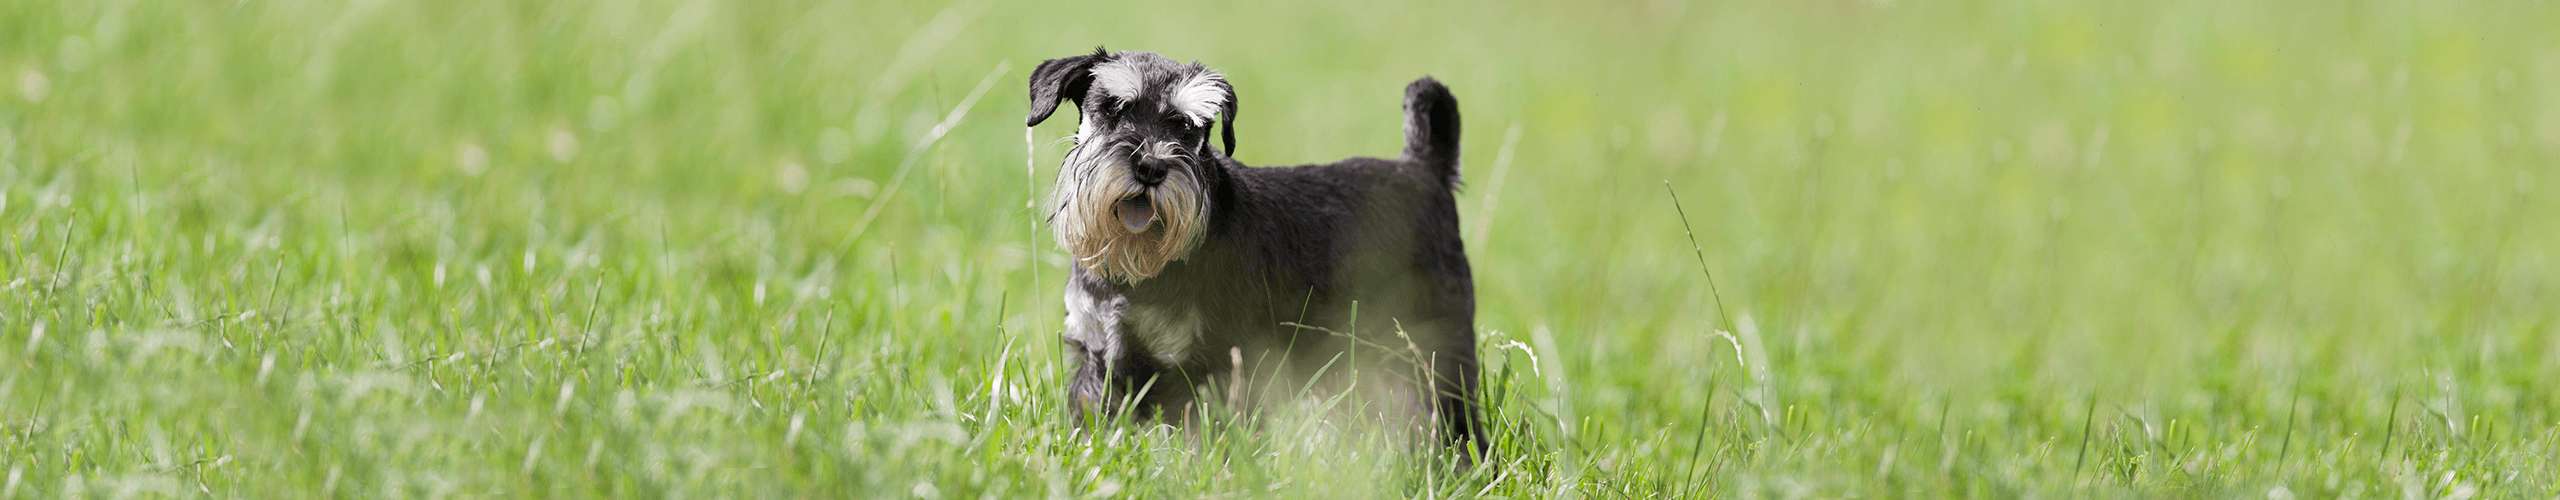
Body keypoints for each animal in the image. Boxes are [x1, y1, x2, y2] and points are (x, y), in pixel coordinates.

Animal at [1029, 47, 1495, 453]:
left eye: (1188, 127)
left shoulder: (1216, 368)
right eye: (1114, 108)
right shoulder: (1097, 362)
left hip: (1437, 351)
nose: (1150, 166)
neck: (1138, 271)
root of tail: (1426, 169)